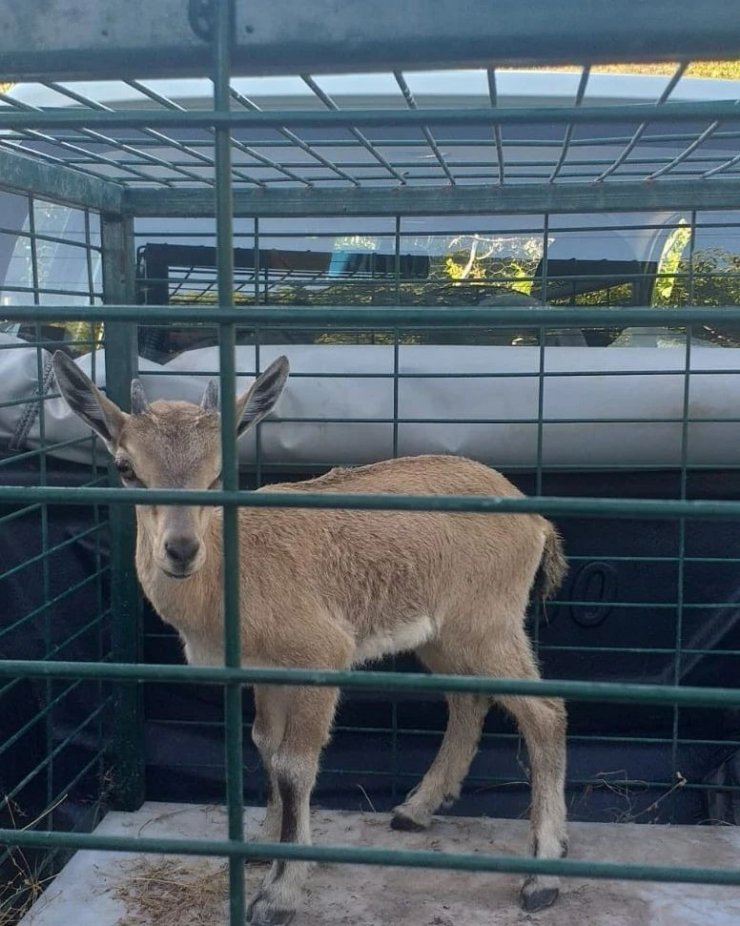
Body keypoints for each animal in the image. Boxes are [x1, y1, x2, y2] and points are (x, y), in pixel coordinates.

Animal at [53, 354, 568, 926]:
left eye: (220, 470)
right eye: (126, 466)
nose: (181, 550)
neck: (232, 573)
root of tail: (534, 519)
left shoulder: (320, 657)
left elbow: (295, 766)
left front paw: (279, 893)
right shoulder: (264, 672)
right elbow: (265, 745)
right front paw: (262, 846)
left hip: (488, 623)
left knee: (545, 712)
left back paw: (542, 876)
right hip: (444, 636)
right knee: (467, 700)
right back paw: (415, 810)